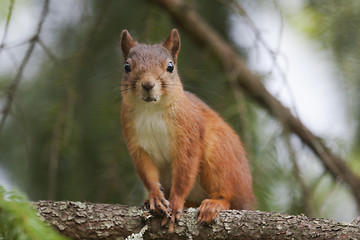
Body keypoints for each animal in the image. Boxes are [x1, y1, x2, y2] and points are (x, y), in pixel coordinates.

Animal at [119, 28, 255, 232]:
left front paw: (175, 204)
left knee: (228, 195)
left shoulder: (188, 133)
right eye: (127, 66)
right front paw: (154, 196)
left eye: (170, 67)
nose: (148, 84)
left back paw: (213, 204)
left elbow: (185, 172)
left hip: (219, 156)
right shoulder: (136, 144)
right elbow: (147, 172)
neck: (151, 110)